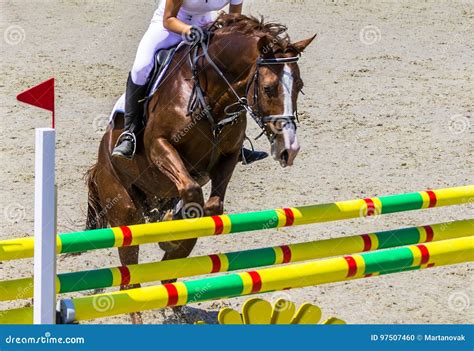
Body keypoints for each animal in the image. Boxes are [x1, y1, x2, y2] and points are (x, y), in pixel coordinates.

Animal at [86, 14, 314, 324]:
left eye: (299, 86)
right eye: (268, 88)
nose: (289, 149)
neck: (214, 98)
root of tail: (98, 165)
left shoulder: (228, 156)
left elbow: (212, 207)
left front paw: (174, 232)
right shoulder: (160, 146)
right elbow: (193, 191)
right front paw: (172, 235)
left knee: (165, 274)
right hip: (124, 209)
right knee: (129, 281)